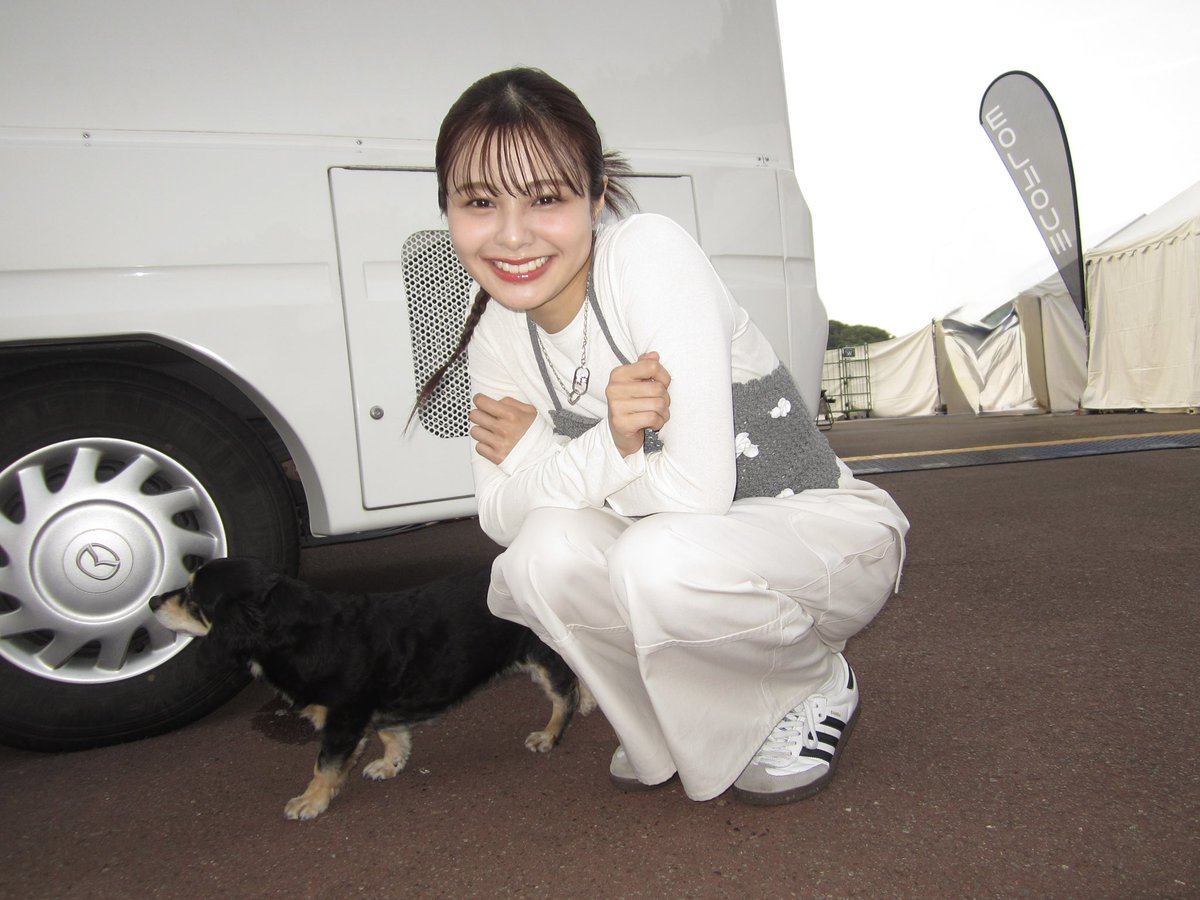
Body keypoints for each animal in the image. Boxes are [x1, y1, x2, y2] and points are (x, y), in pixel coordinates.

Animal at [150, 556, 587, 820]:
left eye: (192, 597)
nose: (153, 602)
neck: (300, 633)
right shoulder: (373, 707)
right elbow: (392, 735)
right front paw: (390, 765)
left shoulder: (342, 719)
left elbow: (324, 766)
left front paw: (310, 802)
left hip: (542, 656)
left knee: (564, 694)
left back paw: (550, 734)